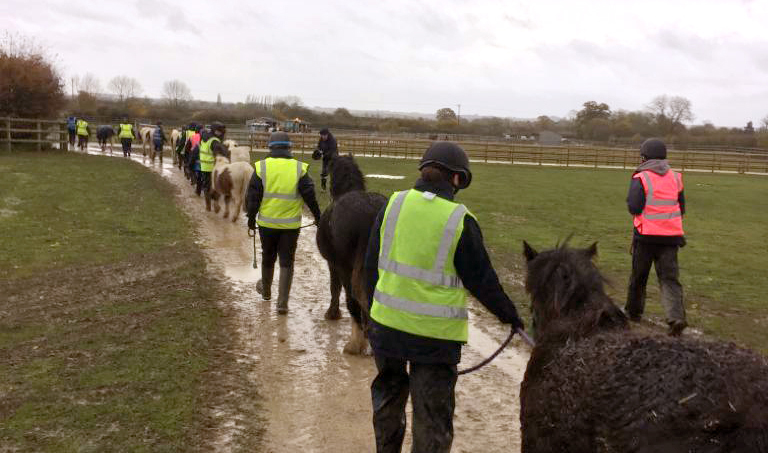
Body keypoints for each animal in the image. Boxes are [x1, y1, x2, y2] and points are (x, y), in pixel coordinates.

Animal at [316, 154, 388, 354]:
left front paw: (332, 313)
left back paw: (355, 344)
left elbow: (334, 288)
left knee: (353, 300)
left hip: (347, 269)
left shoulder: (333, 264)